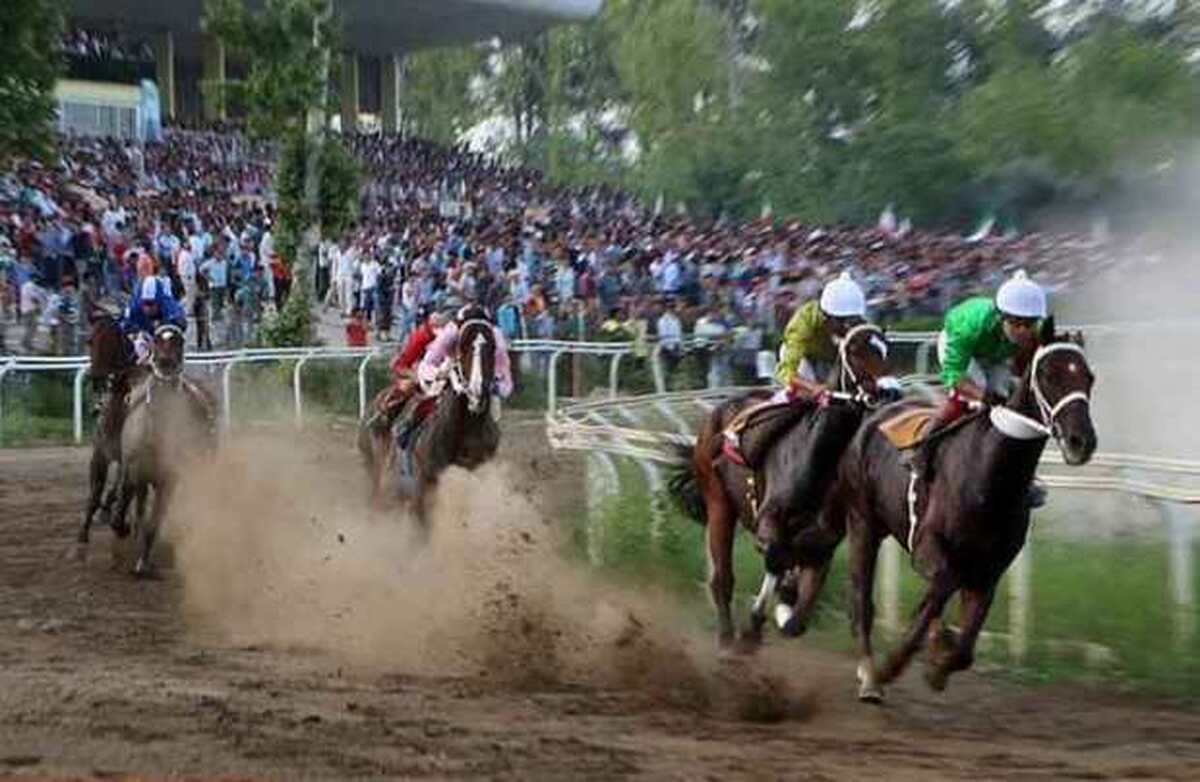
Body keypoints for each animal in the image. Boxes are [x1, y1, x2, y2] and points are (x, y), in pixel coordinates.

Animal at [109, 323, 211, 573]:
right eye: (156, 339)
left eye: (179, 341)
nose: (165, 363)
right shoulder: (134, 470)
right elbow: (127, 501)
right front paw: (121, 528)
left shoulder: (168, 480)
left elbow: (154, 522)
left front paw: (143, 562)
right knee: (134, 502)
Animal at [667, 323, 902, 647]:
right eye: (855, 350)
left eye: (886, 347)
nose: (891, 391)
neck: (817, 458)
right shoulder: (768, 521)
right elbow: (775, 556)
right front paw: (756, 621)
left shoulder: (823, 541)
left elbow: (797, 619)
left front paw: (782, 607)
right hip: (718, 502)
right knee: (722, 578)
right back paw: (728, 638)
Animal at [835, 316, 1099, 700]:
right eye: (1049, 374)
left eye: (1089, 377)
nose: (1082, 441)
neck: (990, 477)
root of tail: (877, 412)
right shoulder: (929, 551)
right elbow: (935, 599)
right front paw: (893, 666)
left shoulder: (990, 569)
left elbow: (964, 649)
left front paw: (939, 663)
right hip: (863, 522)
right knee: (861, 599)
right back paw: (870, 674)